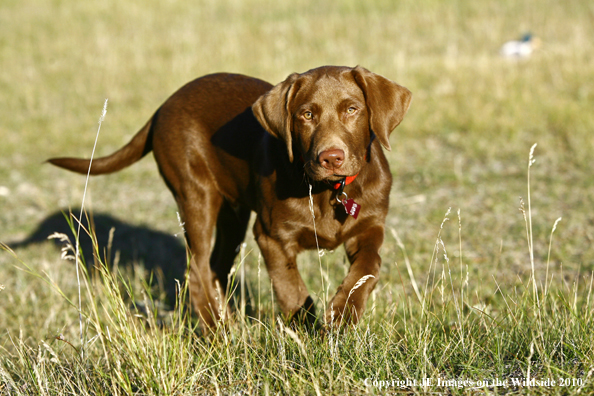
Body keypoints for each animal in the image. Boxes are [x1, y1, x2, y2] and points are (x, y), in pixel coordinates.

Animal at [48, 66, 412, 330]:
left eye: (352, 109)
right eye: (306, 115)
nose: (331, 157)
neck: (329, 190)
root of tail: (163, 106)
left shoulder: (369, 227)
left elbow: (368, 267)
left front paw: (343, 312)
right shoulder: (271, 237)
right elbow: (291, 287)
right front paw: (308, 329)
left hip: (232, 216)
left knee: (214, 269)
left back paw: (226, 321)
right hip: (195, 195)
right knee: (197, 272)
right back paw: (218, 332)